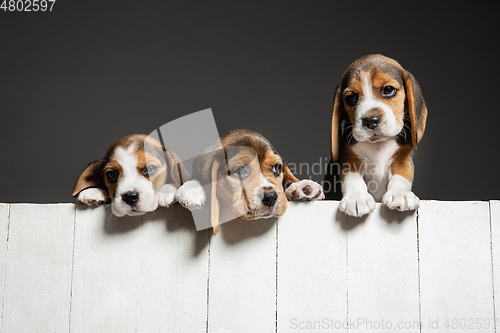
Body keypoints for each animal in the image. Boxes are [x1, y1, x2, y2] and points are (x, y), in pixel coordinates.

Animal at [334, 54, 428, 215]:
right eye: (351, 98)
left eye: (388, 90)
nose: (370, 120)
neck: (378, 144)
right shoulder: (350, 159)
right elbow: (353, 179)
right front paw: (356, 198)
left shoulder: (403, 159)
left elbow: (402, 177)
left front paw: (400, 194)